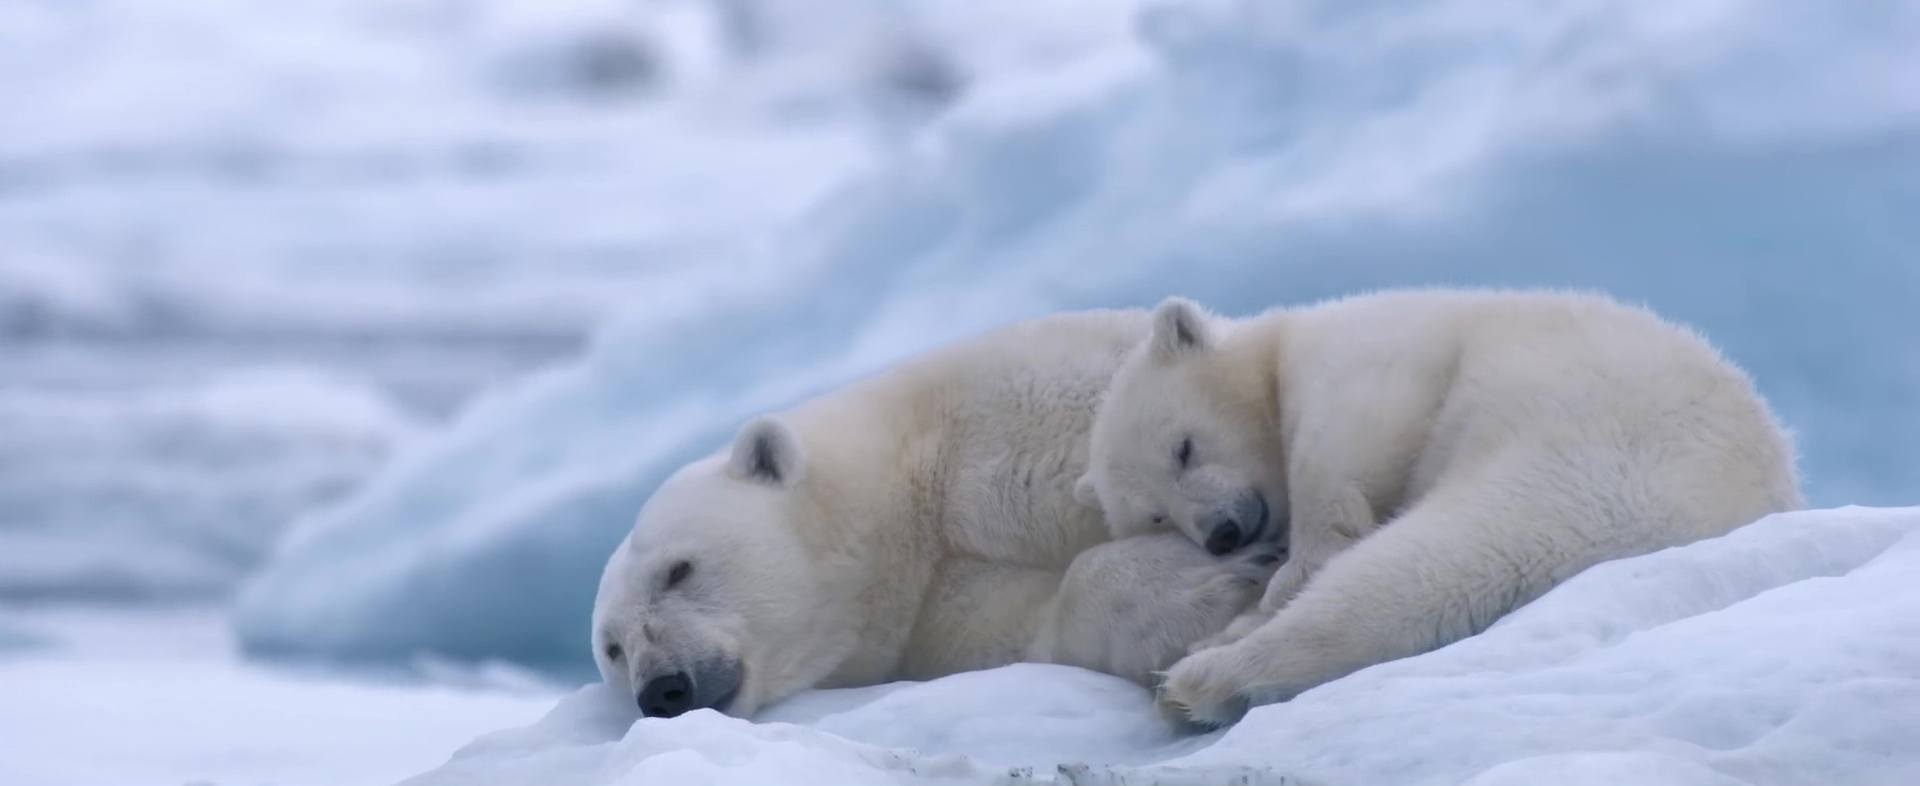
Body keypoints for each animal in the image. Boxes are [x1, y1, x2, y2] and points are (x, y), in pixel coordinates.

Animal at [590, 310, 1281, 719]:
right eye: (613, 649)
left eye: (678, 570)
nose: (663, 689)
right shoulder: (941, 623)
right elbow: (1041, 620)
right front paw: (1209, 588)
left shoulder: (1025, 389)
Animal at [1075, 289, 1802, 728]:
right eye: (1155, 517)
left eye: (1183, 448)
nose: (1224, 534)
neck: (1280, 344)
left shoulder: (1369, 351)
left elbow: (1351, 436)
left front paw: (1294, 566)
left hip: (1580, 461)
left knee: (1428, 567)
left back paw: (1199, 673)